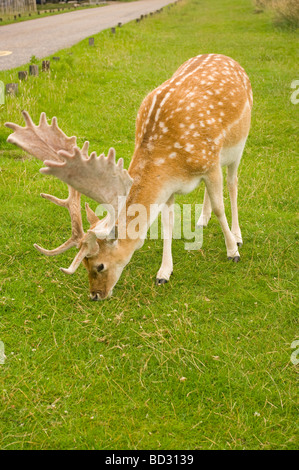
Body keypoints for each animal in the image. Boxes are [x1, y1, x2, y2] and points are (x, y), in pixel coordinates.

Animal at [4, 53, 253, 300]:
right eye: (84, 265)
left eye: (100, 265)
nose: (95, 295)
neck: (172, 161)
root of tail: (228, 58)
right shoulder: (170, 186)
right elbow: (167, 223)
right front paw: (164, 273)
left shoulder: (209, 164)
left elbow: (220, 208)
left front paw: (232, 251)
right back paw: (202, 219)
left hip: (237, 146)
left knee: (232, 184)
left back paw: (237, 235)